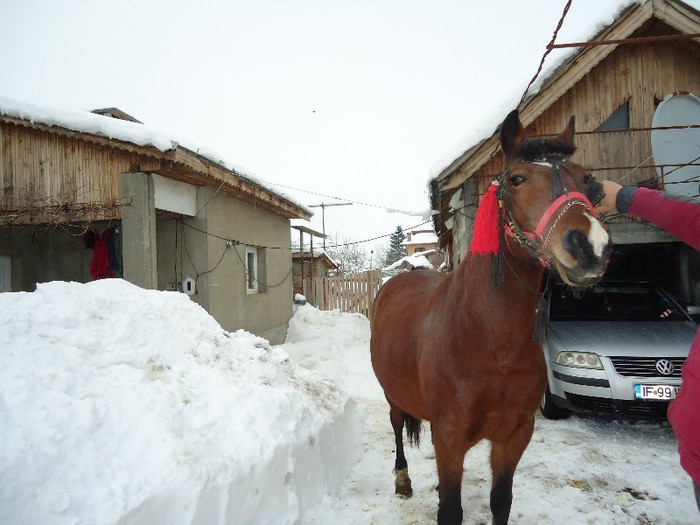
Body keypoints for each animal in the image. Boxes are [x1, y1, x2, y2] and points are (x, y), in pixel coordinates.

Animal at [372, 109, 612, 524]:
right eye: (517, 179)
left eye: (586, 179)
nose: (590, 246)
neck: (490, 342)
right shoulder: (450, 435)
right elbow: (451, 511)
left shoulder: (514, 435)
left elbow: (501, 501)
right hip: (394, 396)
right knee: (398, 427)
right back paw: (402, 480)